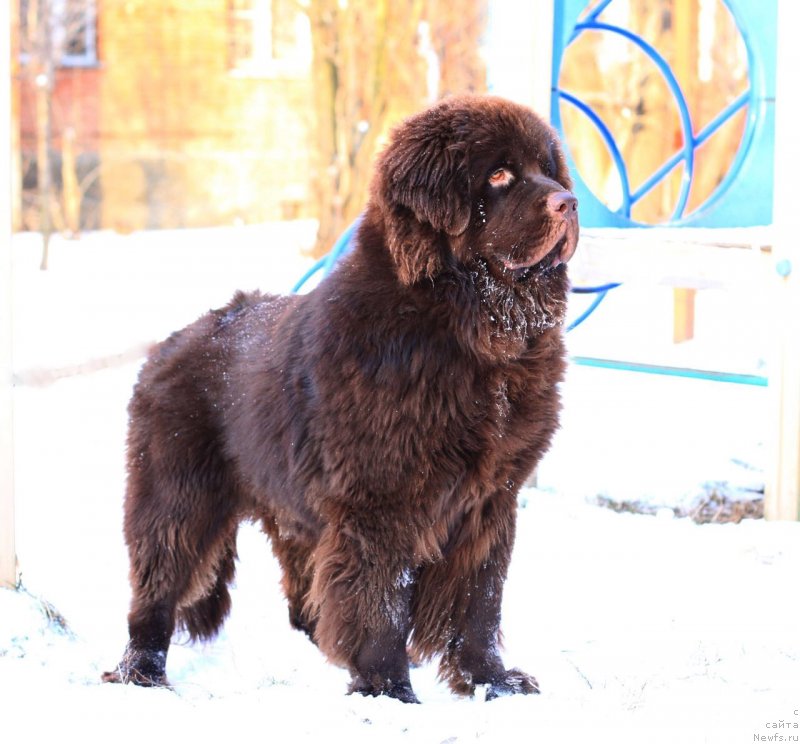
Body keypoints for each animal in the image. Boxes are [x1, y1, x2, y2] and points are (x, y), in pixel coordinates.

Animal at [104, 94, 580, 704]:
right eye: (498, 175)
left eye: (548, 169)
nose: (568, 201)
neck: (468, 334)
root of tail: (170, 343)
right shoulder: (378, 500)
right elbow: (378, 599)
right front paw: (389, 690)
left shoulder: (489, 501)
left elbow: (479, 601)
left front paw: (492, 682)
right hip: (177, 495)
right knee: (157, 586)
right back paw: (142, 670)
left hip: (291, 507)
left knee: (305, 601)